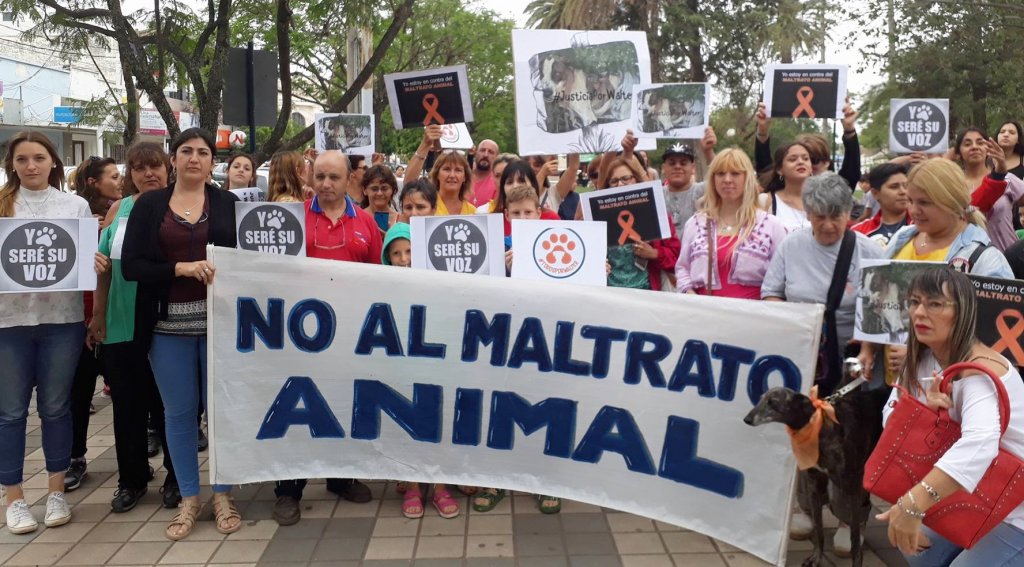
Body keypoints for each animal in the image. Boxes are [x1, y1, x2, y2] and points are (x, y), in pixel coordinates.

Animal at [745, 364, 888, 560]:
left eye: (772, 402)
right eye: (760, 398)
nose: (747, 419)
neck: (818, 426)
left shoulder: (851, 487)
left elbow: (854, 538)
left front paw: (856, 557)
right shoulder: (814, 482)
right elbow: (818, 529)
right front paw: (816, 558)